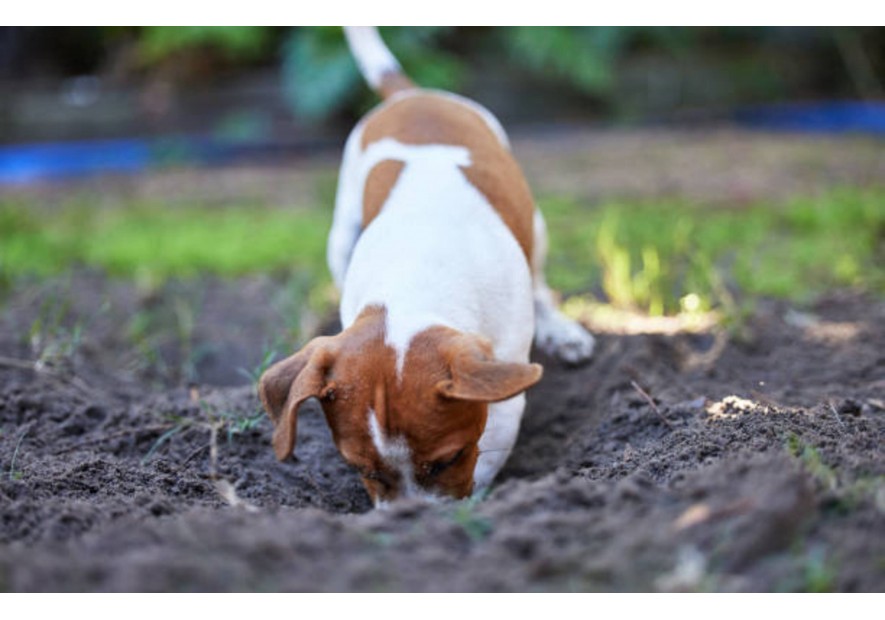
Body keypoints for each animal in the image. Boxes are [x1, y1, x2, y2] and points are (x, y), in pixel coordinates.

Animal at [258, 26, 596, 506]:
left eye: (449, 459)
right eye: (362, 469)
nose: (409, 518)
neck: (412, 281)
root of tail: (412, 94)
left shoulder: (504, 395)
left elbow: (490, 454)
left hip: (537, 225)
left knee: (541, 281)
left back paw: (562, 330)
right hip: (340, 235)